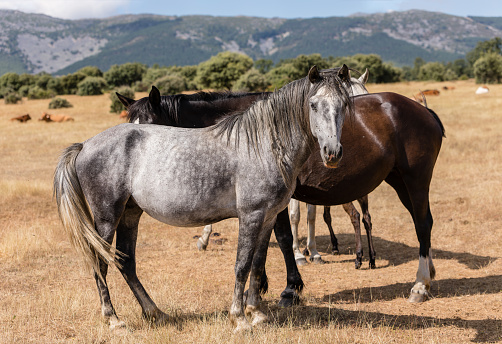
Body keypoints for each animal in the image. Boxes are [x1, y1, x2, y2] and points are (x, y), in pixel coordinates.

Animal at [54, 66, 352, 332]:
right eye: (313, 105)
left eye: (344, 104)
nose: (332, 152)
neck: (261, 145)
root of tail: (85, 145)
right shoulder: (251, 216)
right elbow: (242, 265)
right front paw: (239, 319)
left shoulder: (267, 218)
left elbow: (258, 264)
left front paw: (257, 314)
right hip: (107, 217)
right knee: (100, 261)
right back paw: (114, 320)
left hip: (130, 213)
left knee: (126, 261)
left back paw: (156, 313)